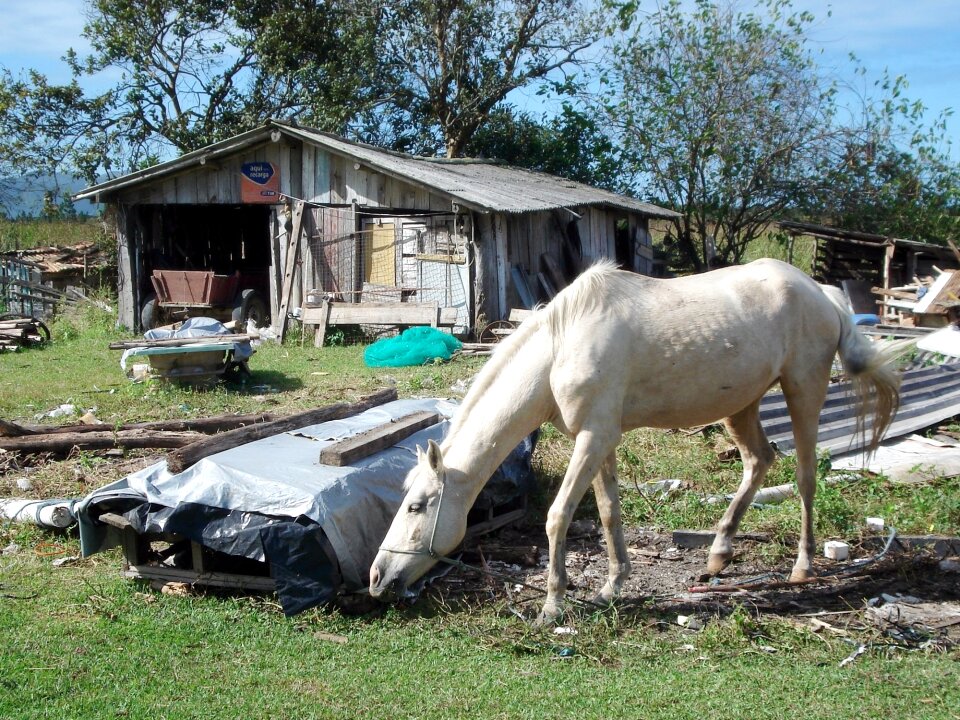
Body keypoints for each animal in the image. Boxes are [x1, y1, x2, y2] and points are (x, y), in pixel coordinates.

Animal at [368, 258, 900, 624]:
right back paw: (717, 554)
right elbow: (608, 511)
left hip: (803, 388)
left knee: (806, 475)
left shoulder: (593, 437)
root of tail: (823, 293)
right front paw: (612, 586)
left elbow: (558, 515)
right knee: (758, 461)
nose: (376, 578)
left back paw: (803, 567)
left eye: (416, 506)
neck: (560, 347)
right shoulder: (601, 438)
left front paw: (553, 604)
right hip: (743, 405)